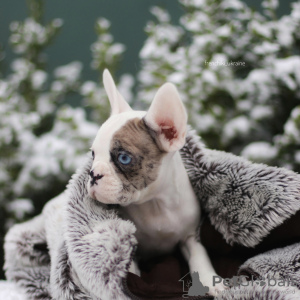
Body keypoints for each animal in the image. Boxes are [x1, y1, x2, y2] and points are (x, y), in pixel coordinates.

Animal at [86, 69, 225, 296]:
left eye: (124, 158)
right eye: (92, 155)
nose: (93, 174)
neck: (154, 203)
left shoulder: (190, 237)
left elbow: (199, 256)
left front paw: (213, 282)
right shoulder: (132, 246)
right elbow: (131, 268)